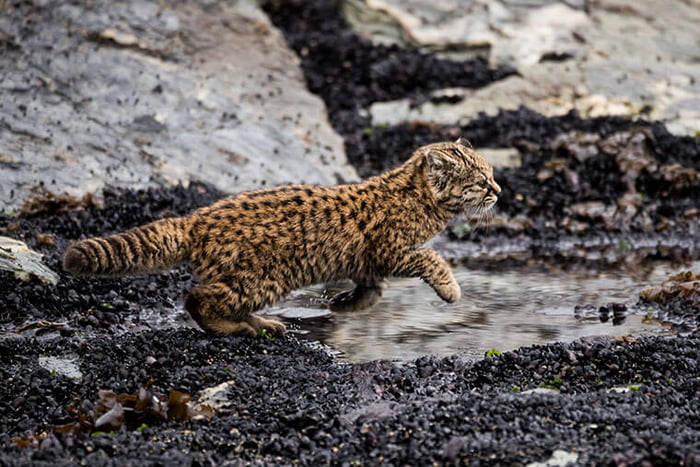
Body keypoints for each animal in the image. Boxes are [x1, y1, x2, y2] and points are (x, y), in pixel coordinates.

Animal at [63, 139, 500, 336]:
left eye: (492, 173)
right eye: (480, 181)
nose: (499, 190)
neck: (419, 199)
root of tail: (196, 219)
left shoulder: (368, 261)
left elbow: (373, 290)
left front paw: (344, 306)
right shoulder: (391, 249)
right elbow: (432, 258)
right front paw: (451, 290)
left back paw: (262, 324)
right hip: (261, 277)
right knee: (198, 298)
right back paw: (238, 328)